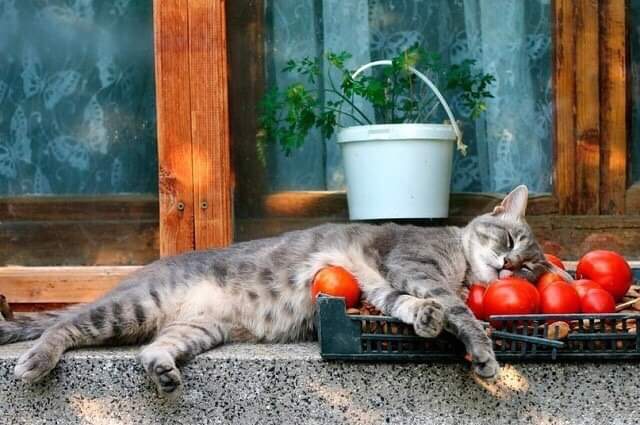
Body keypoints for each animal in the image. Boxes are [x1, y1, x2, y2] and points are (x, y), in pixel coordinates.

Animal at [1, 185, 560, 398]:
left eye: (532, 270)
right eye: (510, 240)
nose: (512, 266)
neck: (456, 256)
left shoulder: (380, 287)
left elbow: (407, 307)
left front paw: (425, 320)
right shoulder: (412, 264)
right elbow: (460, 310)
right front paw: (483, 352)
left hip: (197, 329)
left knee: (151, 349)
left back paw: (162, 372)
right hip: (130, 308)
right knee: (62, 327)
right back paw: (36, 361)